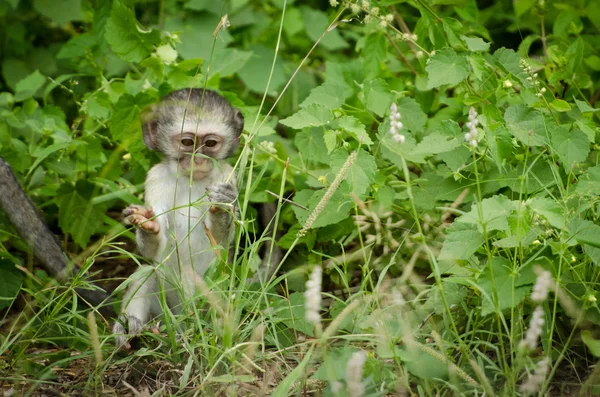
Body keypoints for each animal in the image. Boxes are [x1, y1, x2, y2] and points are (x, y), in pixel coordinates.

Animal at [112, 89, 244, 346]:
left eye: (210, 143)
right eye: (187, 142)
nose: (198, 159)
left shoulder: (226, 175)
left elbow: (220, 243)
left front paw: (222, 203)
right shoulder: (155, 178)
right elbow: (153, 250)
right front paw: (148, 225)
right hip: (162, 311)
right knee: (147, 273)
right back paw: (131, 325)